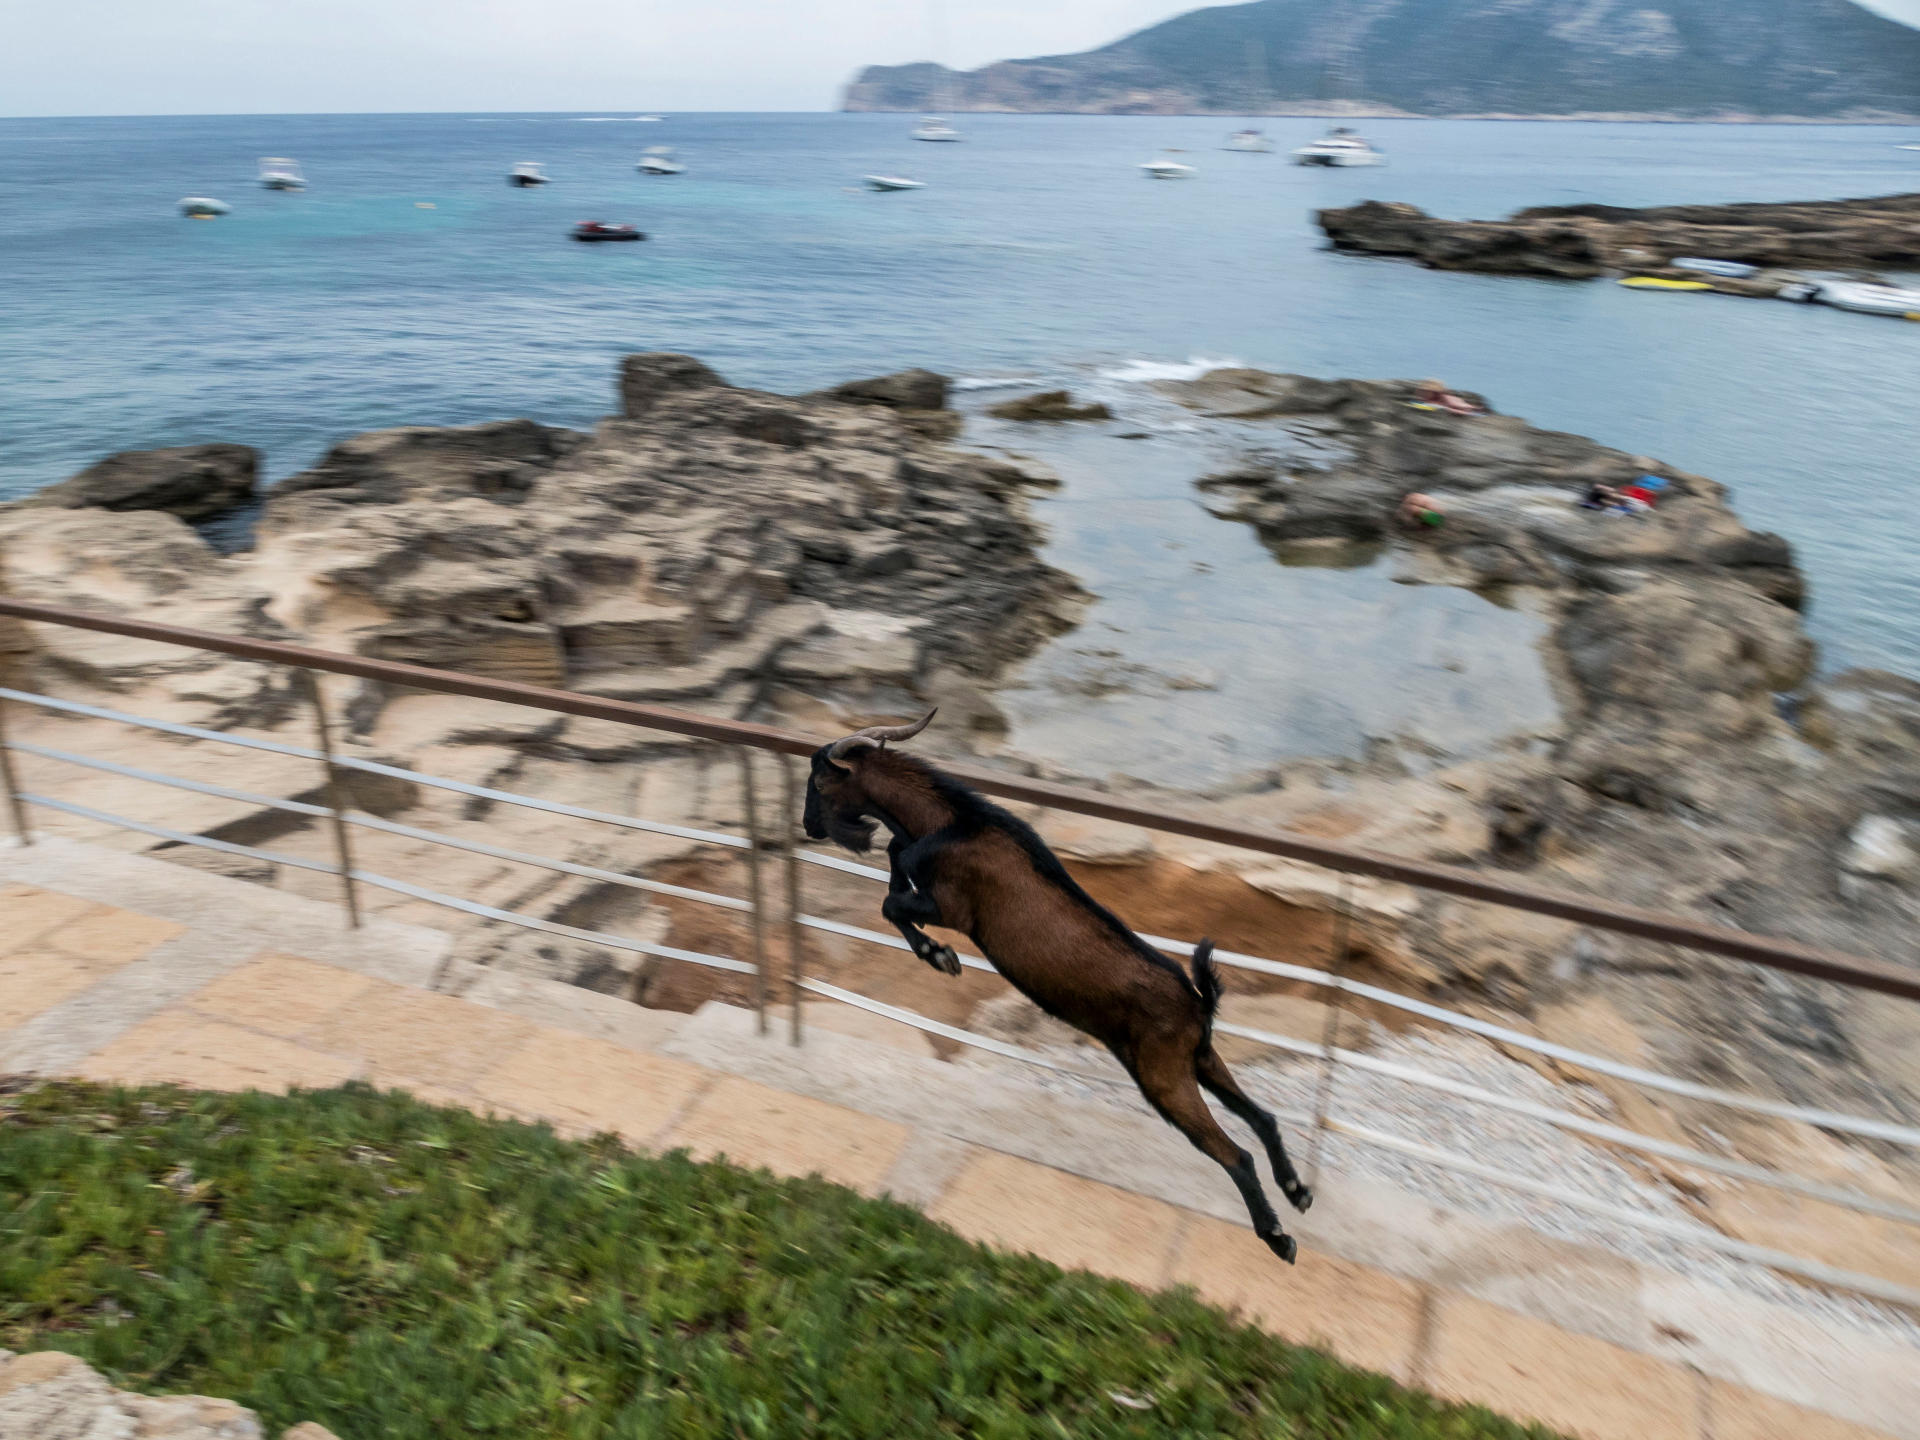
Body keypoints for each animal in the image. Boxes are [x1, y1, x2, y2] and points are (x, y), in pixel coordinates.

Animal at [802, 711, 1312, 1262]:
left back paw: (1278, 1237)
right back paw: (1298, 1191)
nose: (808, 826)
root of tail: (1197, 1003)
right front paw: (934, 949)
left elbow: (892, 902)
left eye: (819, 782)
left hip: (1164, 1076)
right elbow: (896, 865)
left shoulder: (953, 906)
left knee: (1235, 1154)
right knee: (1264, 1119)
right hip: (1200, 1060)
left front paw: (941, 957)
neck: (953, 823)